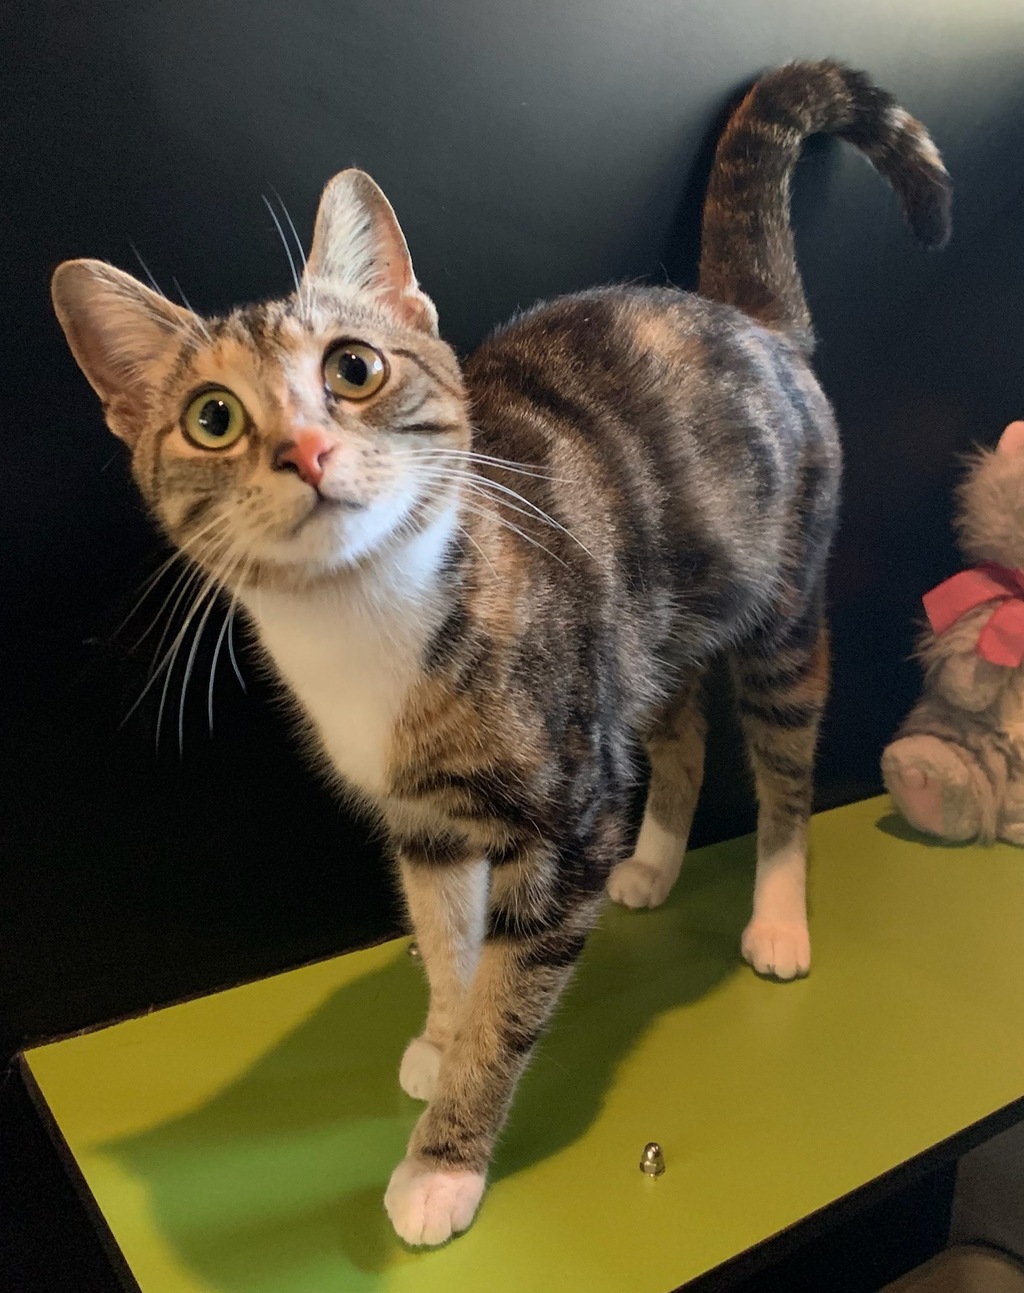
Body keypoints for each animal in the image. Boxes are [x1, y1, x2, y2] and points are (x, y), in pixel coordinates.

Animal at [51, 60, 950, 1246]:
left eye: (353, 367)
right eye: (211, 418)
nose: (305, 449)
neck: (373, 618)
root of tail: (747, 317)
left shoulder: (569, 814)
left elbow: (510, 997)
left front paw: (444, 1162)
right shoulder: (426, 824)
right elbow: (447, 943)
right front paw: (441, 1036)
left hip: (782, 609)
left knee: (783, 757)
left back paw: (776, 913)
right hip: (643, 629)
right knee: (677, 727)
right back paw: (654, 862)